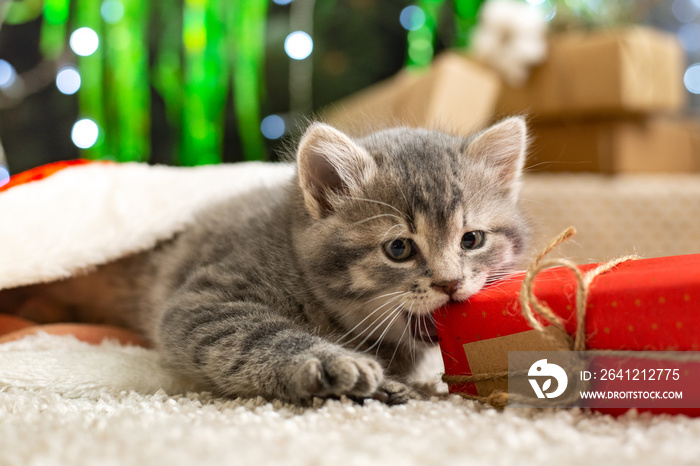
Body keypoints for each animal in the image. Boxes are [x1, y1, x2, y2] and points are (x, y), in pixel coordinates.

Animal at [2, 116, 528, 404]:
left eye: (472, 240)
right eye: (399, 248)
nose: (450, 283)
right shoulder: (202, 301)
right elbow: (256, 335)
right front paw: (331, 363)